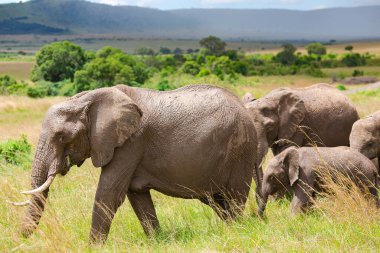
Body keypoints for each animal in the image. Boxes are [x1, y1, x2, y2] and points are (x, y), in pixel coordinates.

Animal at [8, 84, 260, 243]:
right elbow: (137, 197)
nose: (15, 241)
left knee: (234, 197)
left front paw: (92, 247)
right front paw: (157, 242)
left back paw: (237, 231)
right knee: (219, 201)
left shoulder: (131, 143)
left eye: (61, 137)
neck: (88, 99)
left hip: (241, 151)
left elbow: (109, 193)